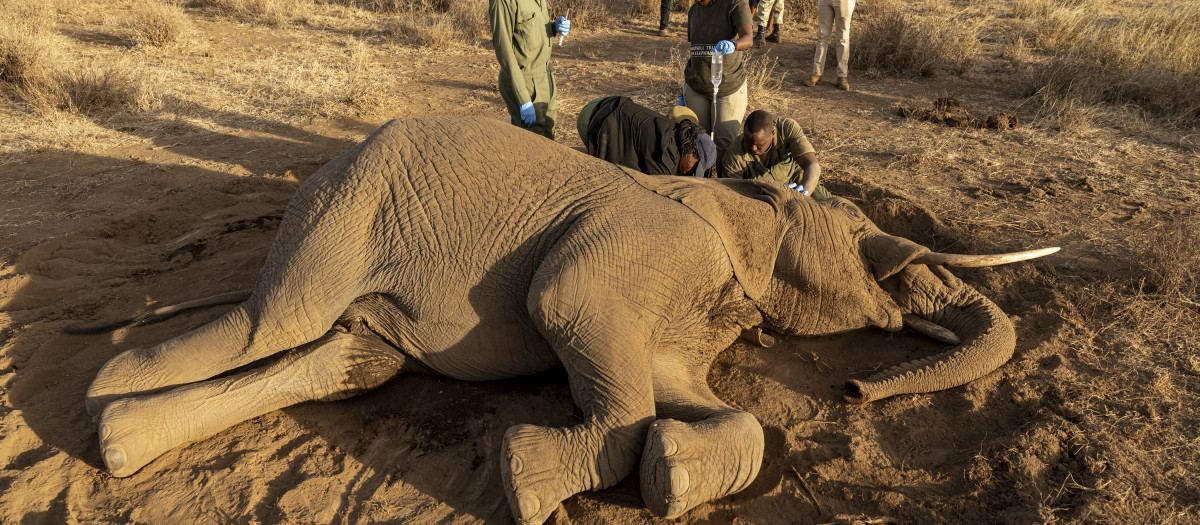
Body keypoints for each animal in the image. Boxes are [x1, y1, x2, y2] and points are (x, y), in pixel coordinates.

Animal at [81, 117, 1057, 524]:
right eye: (859, 235)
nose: (855, 386)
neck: (731, 198)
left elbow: (693, 398)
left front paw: (671, 474)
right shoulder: (644, 247)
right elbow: (566, 305)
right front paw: (527, 481)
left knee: (343, 360)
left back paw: (122, 440)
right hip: (345, 208)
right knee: (270, 322)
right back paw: (104, 390)